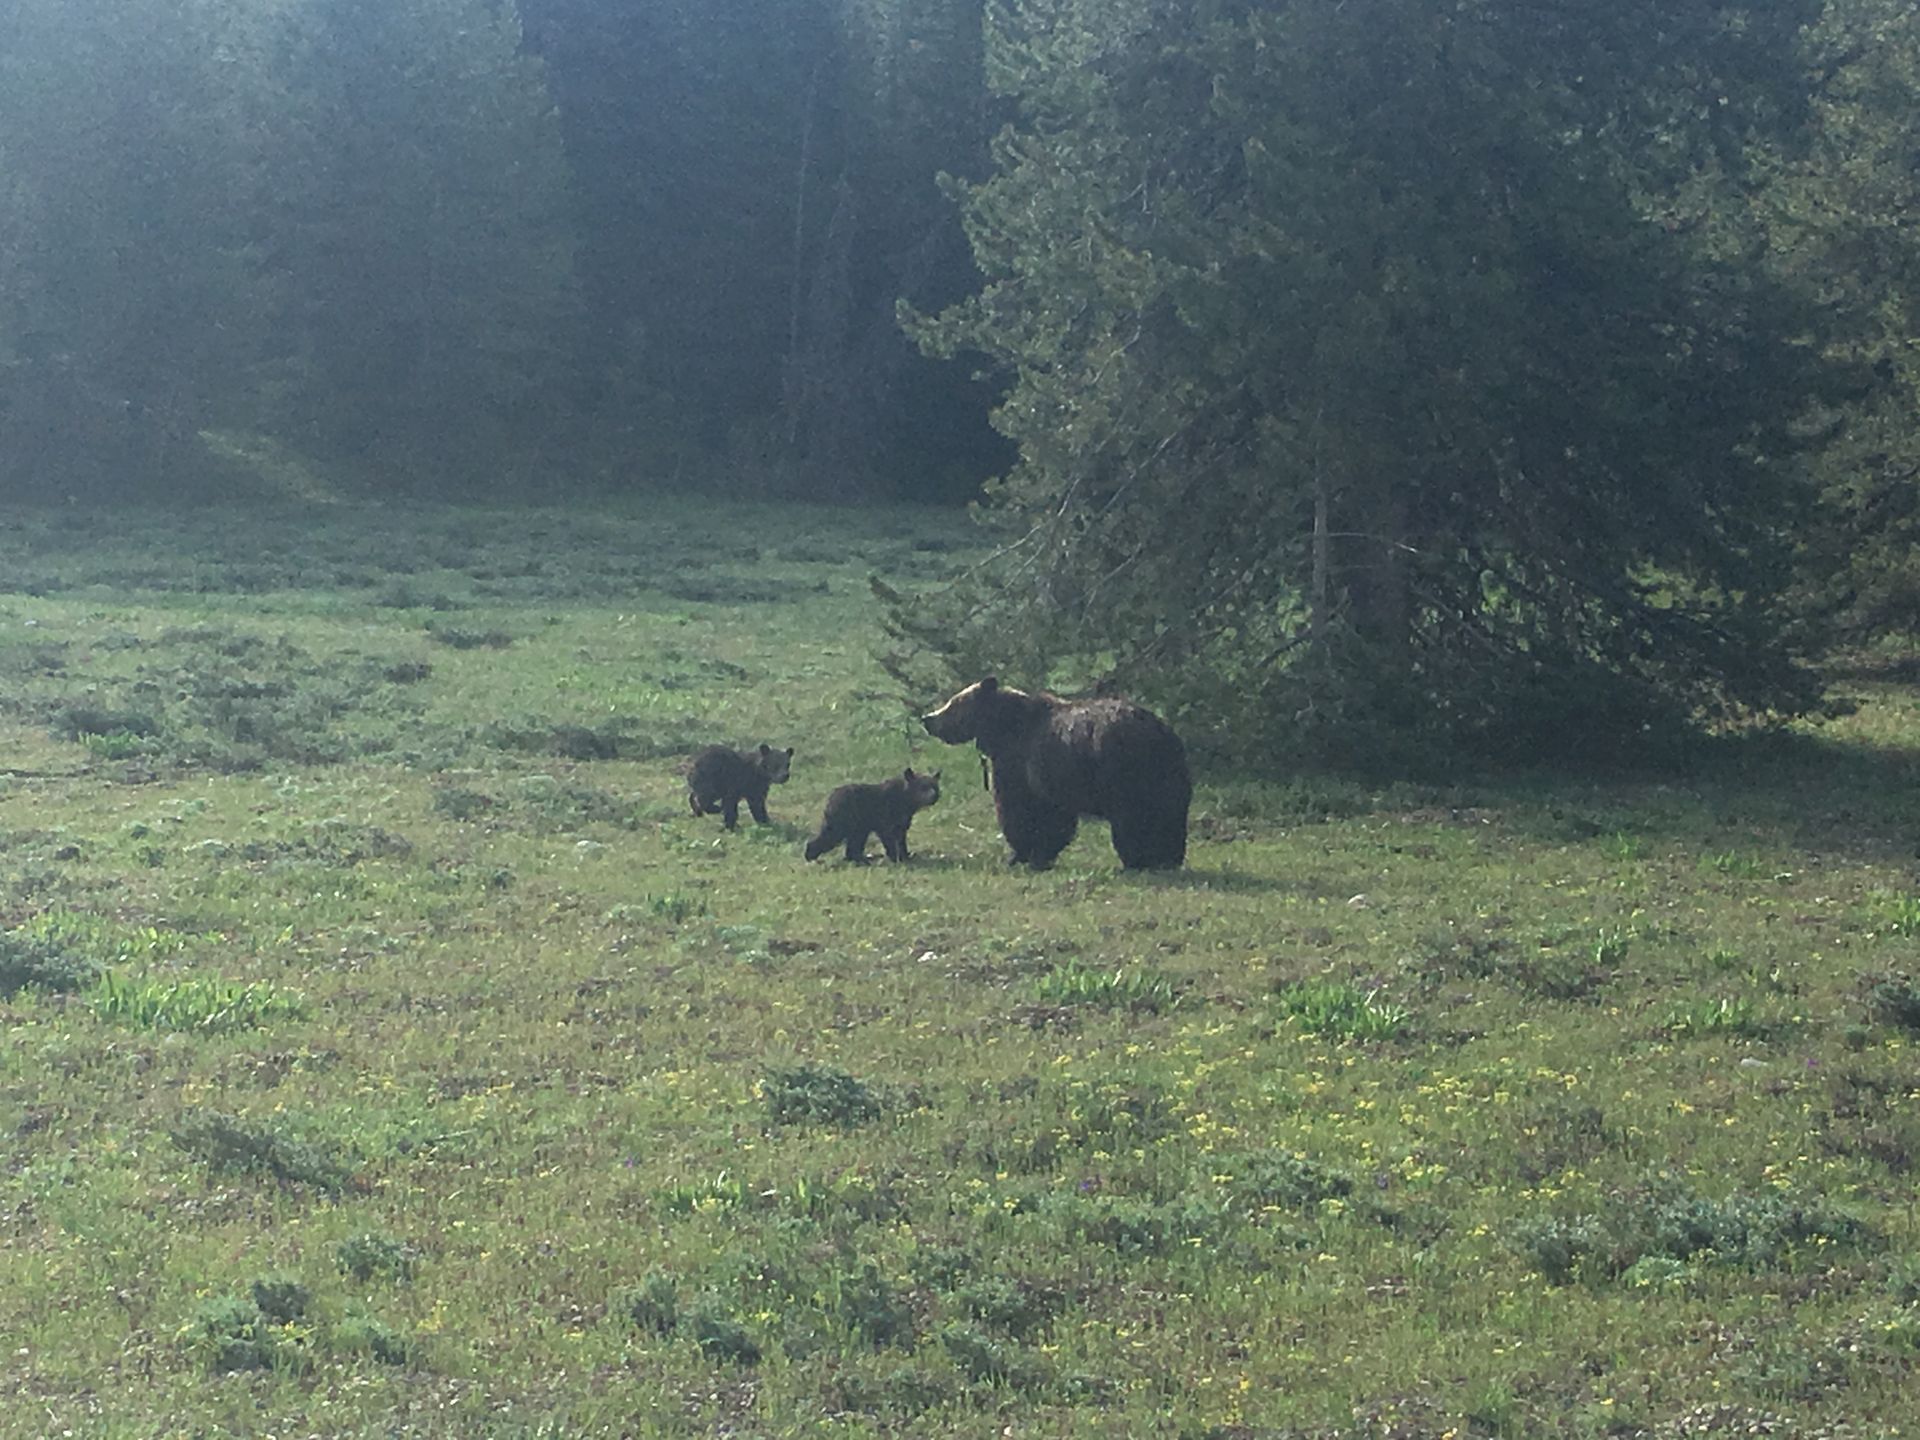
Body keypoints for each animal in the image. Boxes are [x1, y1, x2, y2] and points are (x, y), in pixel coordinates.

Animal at [804, 768, 941, 863]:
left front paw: (905, 856)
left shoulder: (902, 822)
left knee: (854, 842)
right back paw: (810, 855)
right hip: (843, 818)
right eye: (923, 787)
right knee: (831, 835)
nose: (933, 796)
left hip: (859, 826)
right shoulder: (886, 818)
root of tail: (830, 798)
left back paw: (860, 859)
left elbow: (901, 839)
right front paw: (895, 857)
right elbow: (888, 837)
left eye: (935, 787)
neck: (905, 801)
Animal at [920, 677, 1190, 870]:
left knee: (1133, 817)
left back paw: (1135, 859)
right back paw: (1167, 857)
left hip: (1125, 773)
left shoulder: (1018, 764)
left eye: (953, 704)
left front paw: (1020, 854)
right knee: (1168, 814)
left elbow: (1020, 811)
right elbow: (1055, 819)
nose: (927, 718)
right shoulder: (1050, 780)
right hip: (1168, 774)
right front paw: (1039, 854)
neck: (1002, 728)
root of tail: (1159, 731)